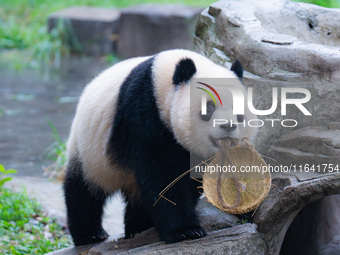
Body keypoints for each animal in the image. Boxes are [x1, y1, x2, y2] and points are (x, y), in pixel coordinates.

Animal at [63, 48, 256, 246]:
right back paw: (90, 234)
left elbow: (188, 177)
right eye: (209, 107)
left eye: (238, 110)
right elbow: (162, 175)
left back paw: (138, 227)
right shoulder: (143, 113)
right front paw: (185, 231)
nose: (228, 126)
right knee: (83, 190)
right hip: (89, 150)